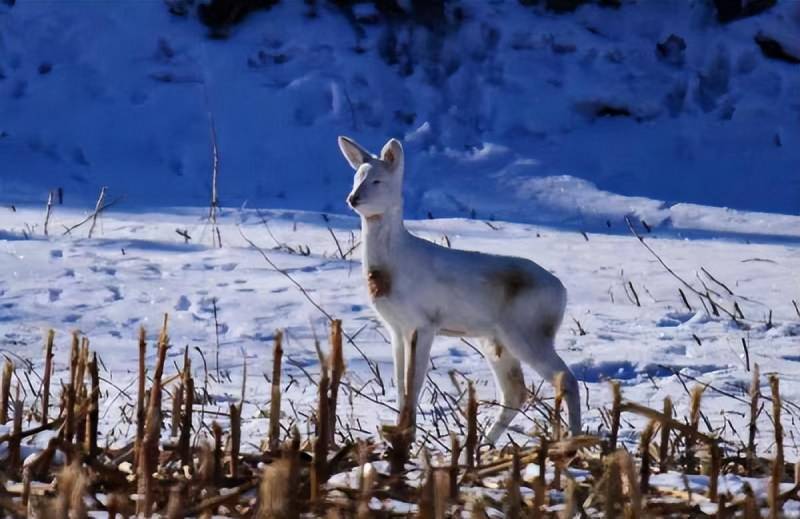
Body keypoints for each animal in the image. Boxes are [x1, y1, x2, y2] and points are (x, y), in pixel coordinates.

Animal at [340, 135, 580, 442]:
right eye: (356, 177)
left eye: (377, 180)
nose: (353, 198)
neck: (395, 264)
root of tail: (562, 292)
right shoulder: (396, 326)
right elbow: (401, 385)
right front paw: (397, 433)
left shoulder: (425, 322)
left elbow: (414, 384)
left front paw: (408, 437)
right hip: (496, 340)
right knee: (516, 392)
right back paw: (484, 445)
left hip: (528, 331)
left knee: (566, 379)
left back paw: (575, 441)